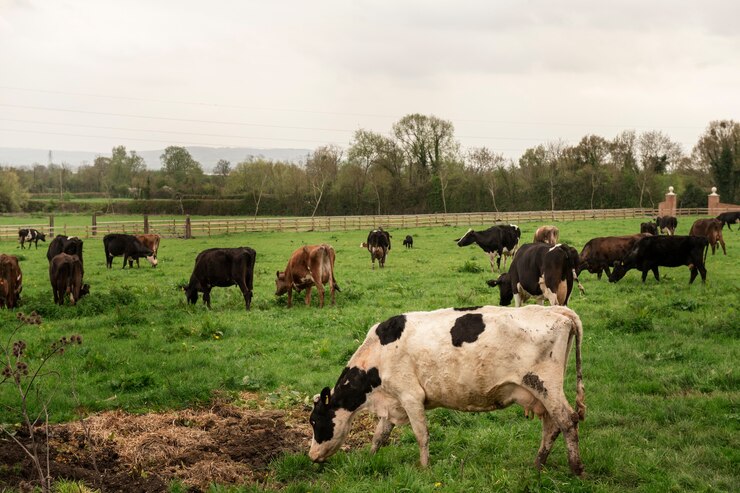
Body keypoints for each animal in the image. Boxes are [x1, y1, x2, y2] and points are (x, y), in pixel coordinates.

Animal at [306, 306, 584, 474]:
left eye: (315, 421)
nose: (311, 455)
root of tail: (556, 310)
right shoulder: (393, 402)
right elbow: (379, 435)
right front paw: (369, 458)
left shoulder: (410, 396)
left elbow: (421, 434)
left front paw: (424, 468)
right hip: (541, 393)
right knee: (551, 425)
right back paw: (538, 464)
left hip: (546, 385)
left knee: (567, 421)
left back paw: (576, 468)